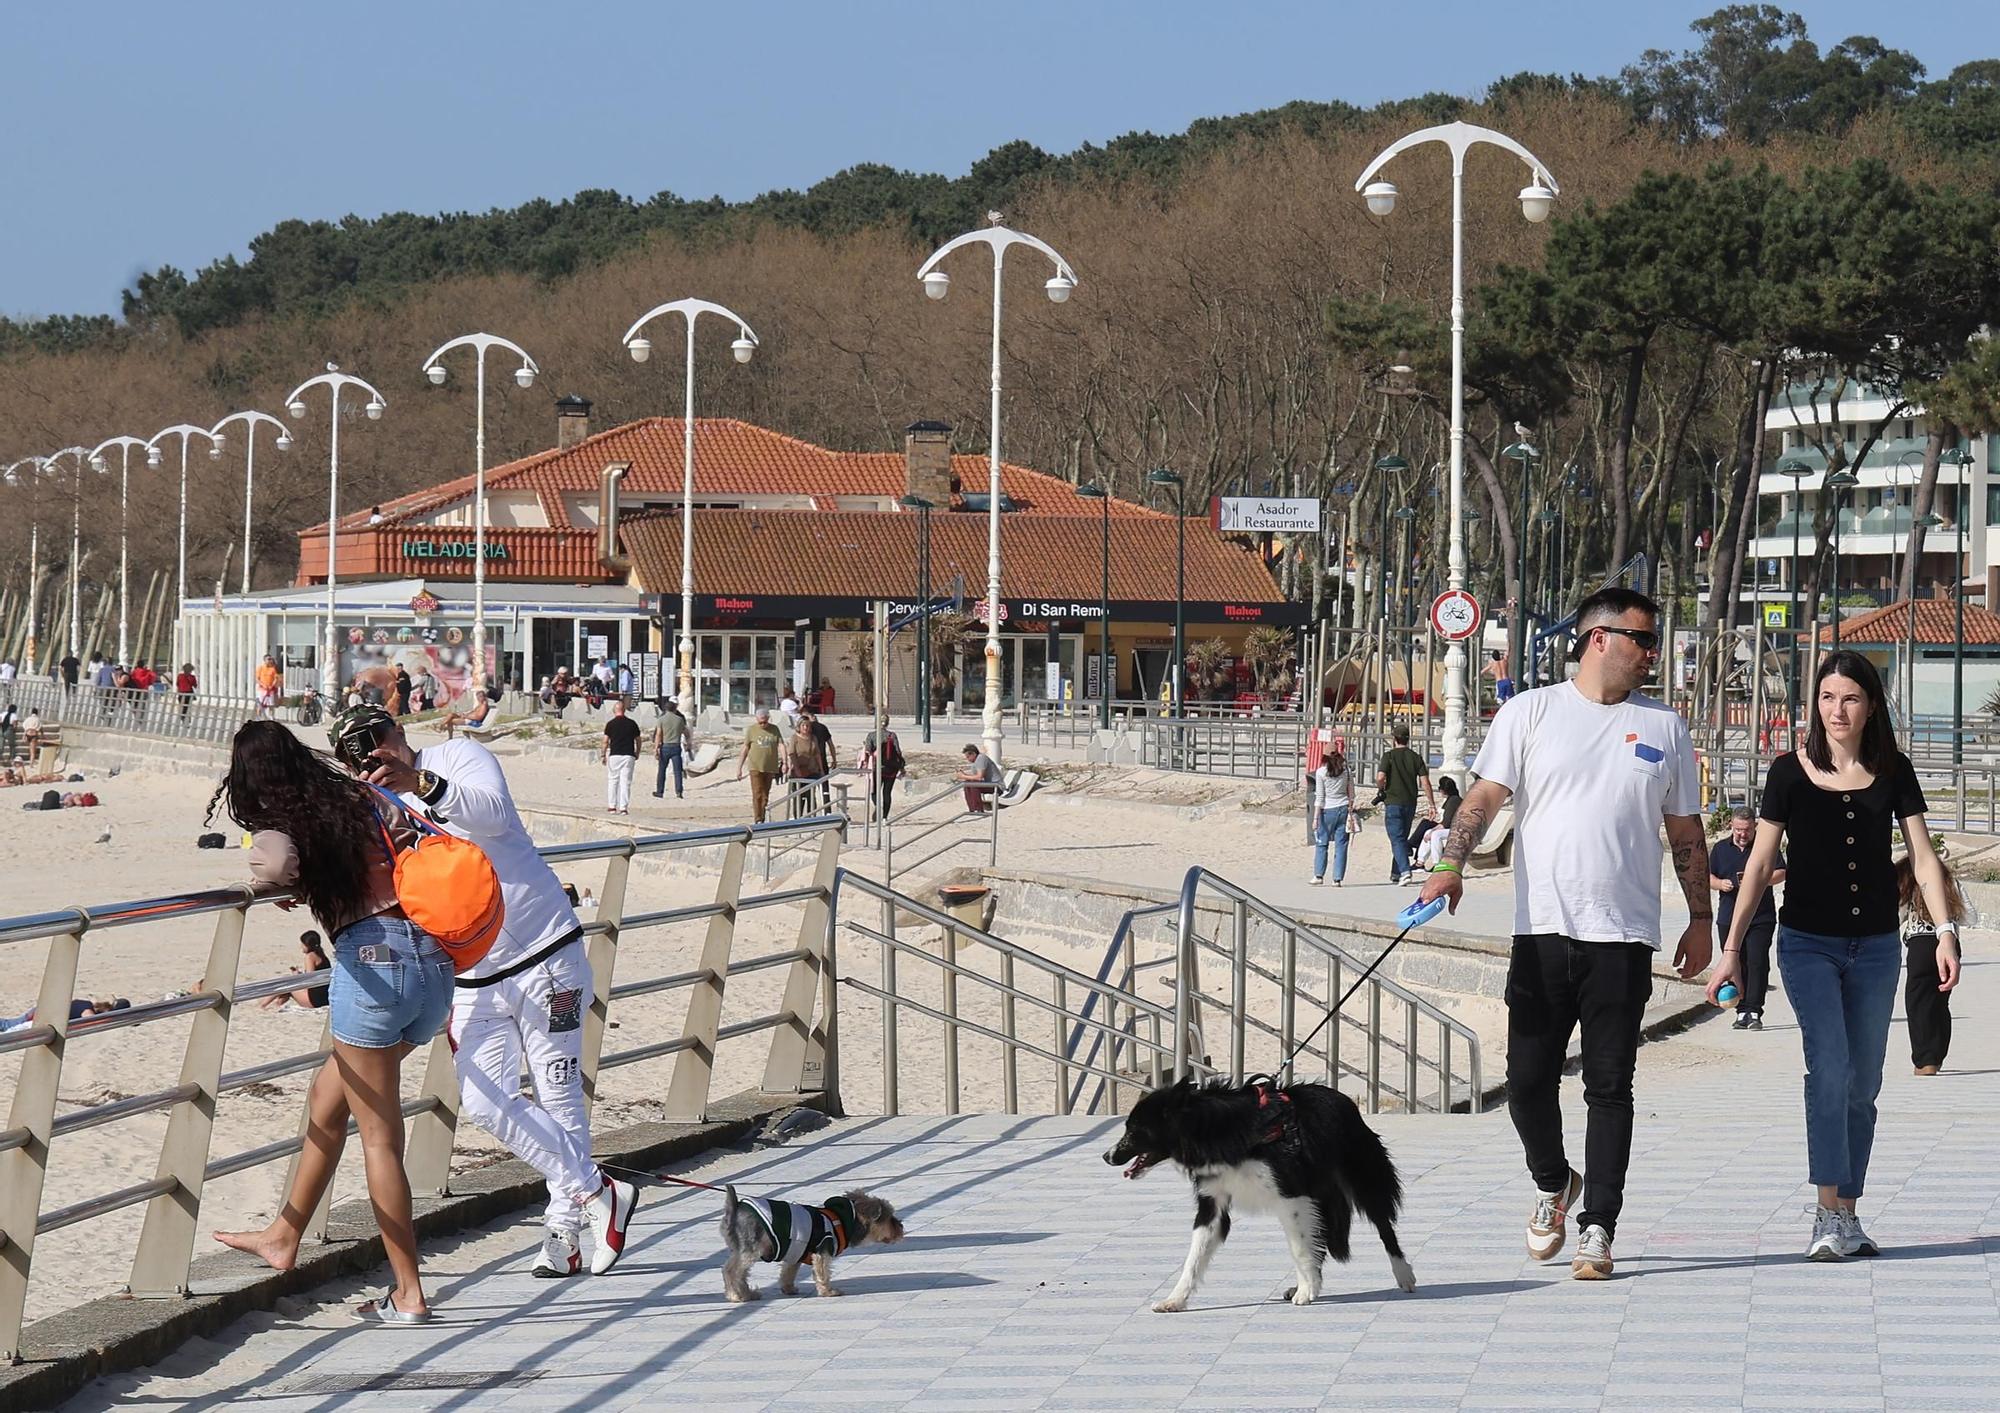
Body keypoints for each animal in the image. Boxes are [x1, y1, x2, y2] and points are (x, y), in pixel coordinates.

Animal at [720, 1176, 908, 1296]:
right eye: (890, 1218)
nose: (901, 1226)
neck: (843, 1219)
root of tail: (734, 1208)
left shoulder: (795, 1252)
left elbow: (788, 1272)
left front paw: (788, 1289)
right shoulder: (822, 1251)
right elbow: (823, 1273)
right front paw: (829, 1292)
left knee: (740, 1273)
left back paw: (747, 1294)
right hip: (751, 1249)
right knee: (731, 1271)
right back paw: (737, 1296)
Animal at [1104, 1072, 1416, 1304]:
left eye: (1133, 1131)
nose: (1107, 1156)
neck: (1210, 1129)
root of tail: (1344, 1100)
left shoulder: (1291, 1195)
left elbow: (1299, 1247)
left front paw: (1307, 1291)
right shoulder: (1213, 1201)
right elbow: (1195, 1255)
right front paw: (1175, 1300)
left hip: (1361, 1177)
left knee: (1384, 1227)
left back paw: (1404, 1274)